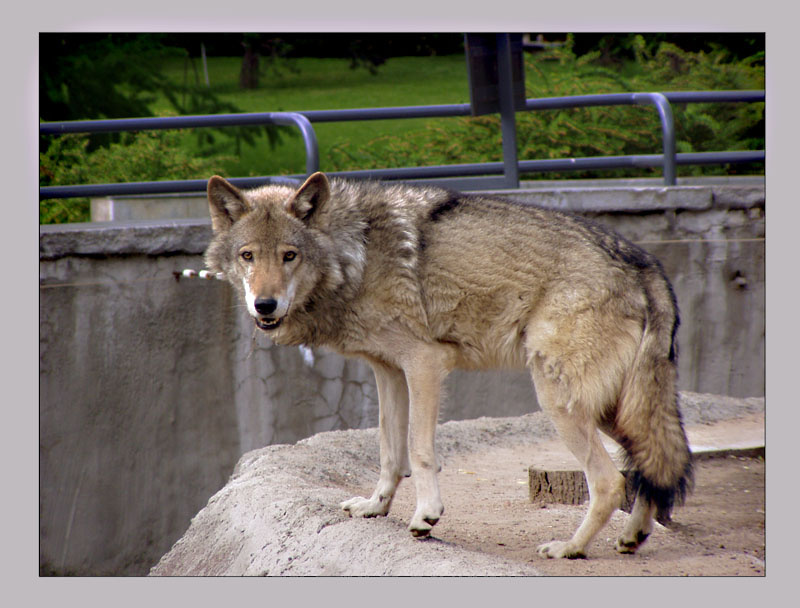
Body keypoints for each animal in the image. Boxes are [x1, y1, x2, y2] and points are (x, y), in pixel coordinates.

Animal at [204, 172, 693, 559]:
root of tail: (647, 263)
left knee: (611, 481)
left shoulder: (424, 363)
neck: (355, 255)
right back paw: (631, 538)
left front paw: (426, 516)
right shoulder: (387, 370)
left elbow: (419, 451)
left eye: (290, 255)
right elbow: (388, 449)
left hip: (560, 402)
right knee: (649, 467)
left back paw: (570, 548)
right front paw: (375, 507)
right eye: (248, 256)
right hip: (612, 410)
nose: (264, 305)